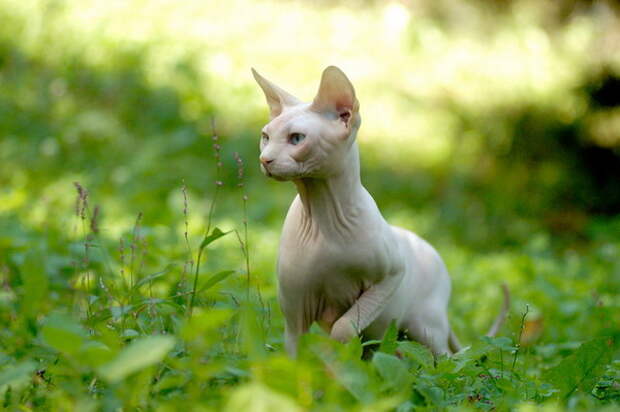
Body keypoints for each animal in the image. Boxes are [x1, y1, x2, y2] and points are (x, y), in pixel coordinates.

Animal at [252, 66, 508, 356]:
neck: (321, 212)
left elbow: (343, 328)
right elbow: (297, 352)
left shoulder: (391, 275)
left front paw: (337, 354)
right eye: (265, 137)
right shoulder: (295, 311)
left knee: (444, 359)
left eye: (297, 139)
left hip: (425, 326)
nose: (264, 160)